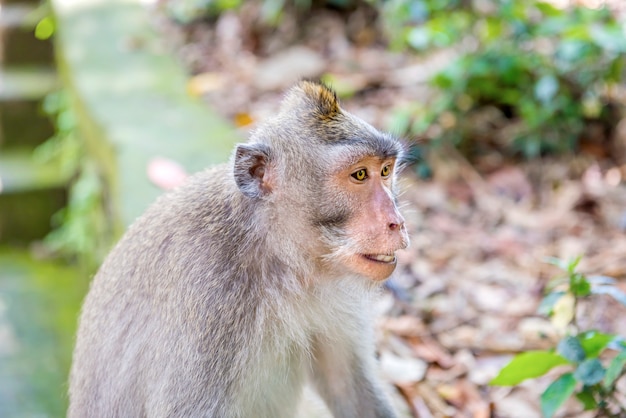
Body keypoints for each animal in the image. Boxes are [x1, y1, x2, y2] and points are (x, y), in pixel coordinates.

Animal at [69, 80, 410, 416]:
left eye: (385, 171)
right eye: (359, 174)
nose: (397, 221)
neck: (277, 257)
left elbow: (347, 385)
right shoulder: (209, 296)